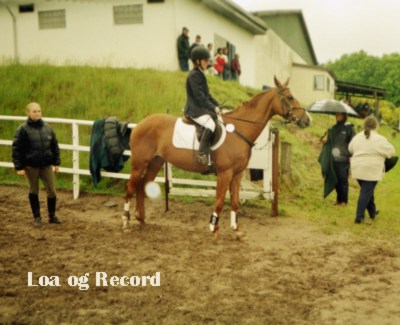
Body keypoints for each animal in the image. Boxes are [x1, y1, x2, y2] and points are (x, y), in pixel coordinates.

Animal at [123, 77, 310, 234]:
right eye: (290, 97)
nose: (307, 119)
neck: (239, 130)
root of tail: (140, 123)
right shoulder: (225, 173)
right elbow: (220, 200)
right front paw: (213, 226)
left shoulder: (237, 174)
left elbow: (234, 200)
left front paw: (235, 228)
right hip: (139, 164)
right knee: (130, 188)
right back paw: (126, 222)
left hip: (156, 162)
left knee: (141, 187)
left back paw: (141, 219)